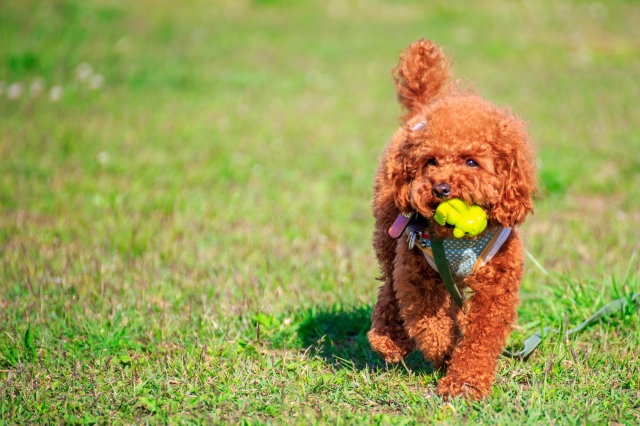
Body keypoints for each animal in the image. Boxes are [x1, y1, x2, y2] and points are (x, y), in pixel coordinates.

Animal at [368, 39, 536, 400]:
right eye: (430, 161)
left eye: (471, 161)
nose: (441, 188)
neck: (457, 237)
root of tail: (424, 106)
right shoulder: (418, 273)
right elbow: (430, 325)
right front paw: (446, 353)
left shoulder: (496, 288)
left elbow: (480, 338)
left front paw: (465, 383)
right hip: (391, 234)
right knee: (389, 286)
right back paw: (388, 339)